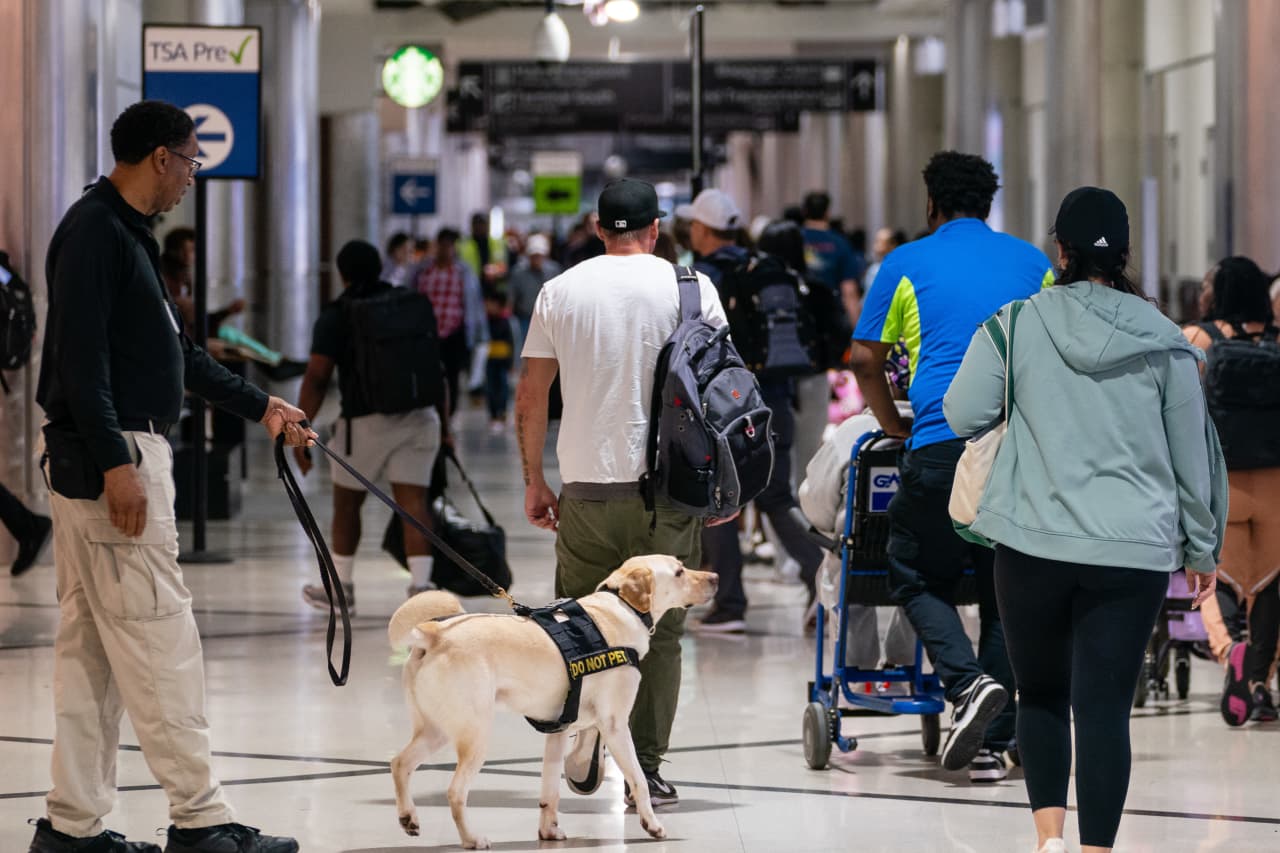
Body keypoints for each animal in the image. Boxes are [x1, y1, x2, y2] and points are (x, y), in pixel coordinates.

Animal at [378, 550, 721, 845]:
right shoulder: (616, 727)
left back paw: (408, 816)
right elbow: (637, 778)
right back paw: (472, 839)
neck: (621, 609)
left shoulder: (557, 731)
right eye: (679, 572)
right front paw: (652, 824)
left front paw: (549, 831)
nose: (715, 577)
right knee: (455, 792)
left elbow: (550, 791)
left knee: (399, 763)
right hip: (474, 737)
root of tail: (435, 635)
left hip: (435, 730)